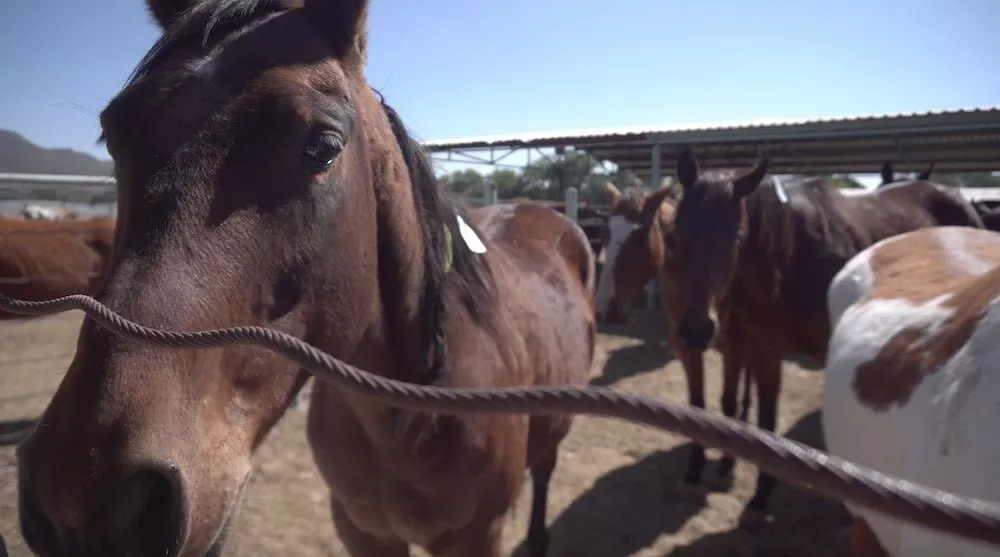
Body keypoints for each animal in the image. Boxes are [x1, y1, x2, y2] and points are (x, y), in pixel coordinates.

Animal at [15, 1, 596, 556]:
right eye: (113, 135)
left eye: (322, 145)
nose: (82, 499)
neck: (412, 415)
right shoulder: (363, 531)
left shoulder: (478, 537)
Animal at [664, 149, 984, 516]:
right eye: (676, 234)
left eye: (736, 235)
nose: (696, 329)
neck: (790, 258)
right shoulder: (763, 352)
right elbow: (766, 423)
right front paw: (761, 495)